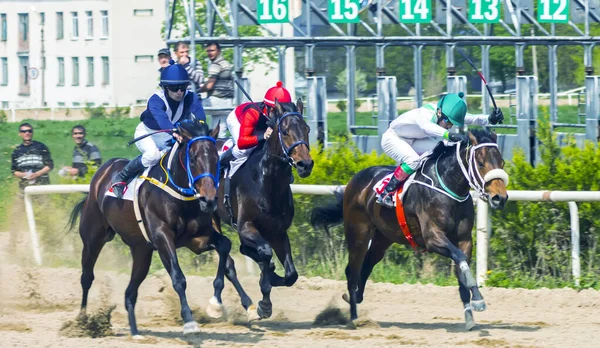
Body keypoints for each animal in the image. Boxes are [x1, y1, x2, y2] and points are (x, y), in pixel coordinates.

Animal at [69, 120, 254, 338]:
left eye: (217, 158)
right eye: (193, 157)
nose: (209, 199)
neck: (179, 194)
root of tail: (102, 172)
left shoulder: (197, 239)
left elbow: (225, 246)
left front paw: (216, 304)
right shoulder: (162, 237)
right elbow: (178, 277)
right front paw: (189, 321)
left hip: (141, 250)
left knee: (130, 292)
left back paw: (135, 331)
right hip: (93, 238)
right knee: (87, 276)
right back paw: (83, 320)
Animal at [214, 99, 316, 320]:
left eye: (307, 129)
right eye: (285, 131)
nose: (305, 165)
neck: (266, 182)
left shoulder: (278, 232)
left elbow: (291, 274)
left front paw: (271, 279)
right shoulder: (245, 226)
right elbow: (265, 253)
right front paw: (265, 301)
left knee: (244, 252)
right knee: (231, 261)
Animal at [312, 129, 508, 330]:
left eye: (502, 162)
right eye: (481, 163)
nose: (499, 198)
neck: (447, 186)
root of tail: (355, 179)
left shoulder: (464, 239)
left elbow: (462, 270)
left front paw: (470, 313)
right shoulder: (433, 238)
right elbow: (459, 258)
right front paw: (478, 299)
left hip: (383, 238)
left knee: (366, 266)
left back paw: (355, 300)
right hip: (358, 234)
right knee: (352, 271)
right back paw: (354, 318)